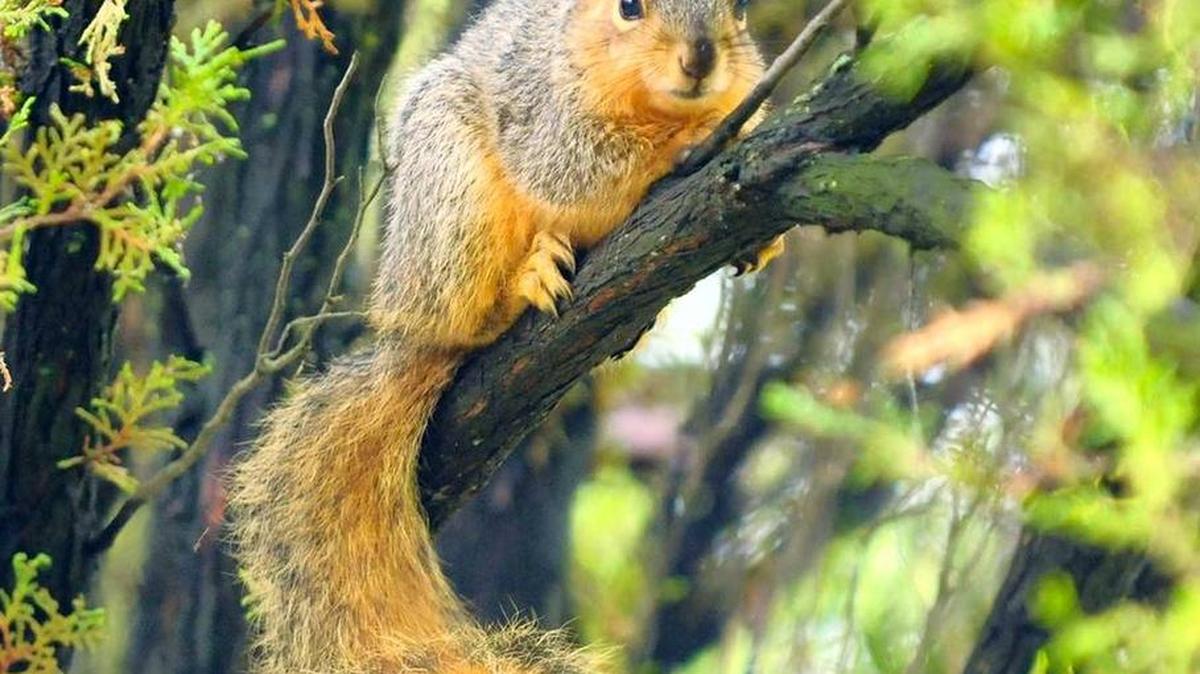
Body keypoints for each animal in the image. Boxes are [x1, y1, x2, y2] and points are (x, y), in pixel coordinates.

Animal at [229, 0, 780, 671]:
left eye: (740, 10)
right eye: (628, 8)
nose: (700, 59)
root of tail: (405, 315)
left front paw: (762, 235)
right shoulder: (540, 118)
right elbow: (584, 171)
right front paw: (693, 138)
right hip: (449, 191)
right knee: (465, 315)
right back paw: (524, 282)